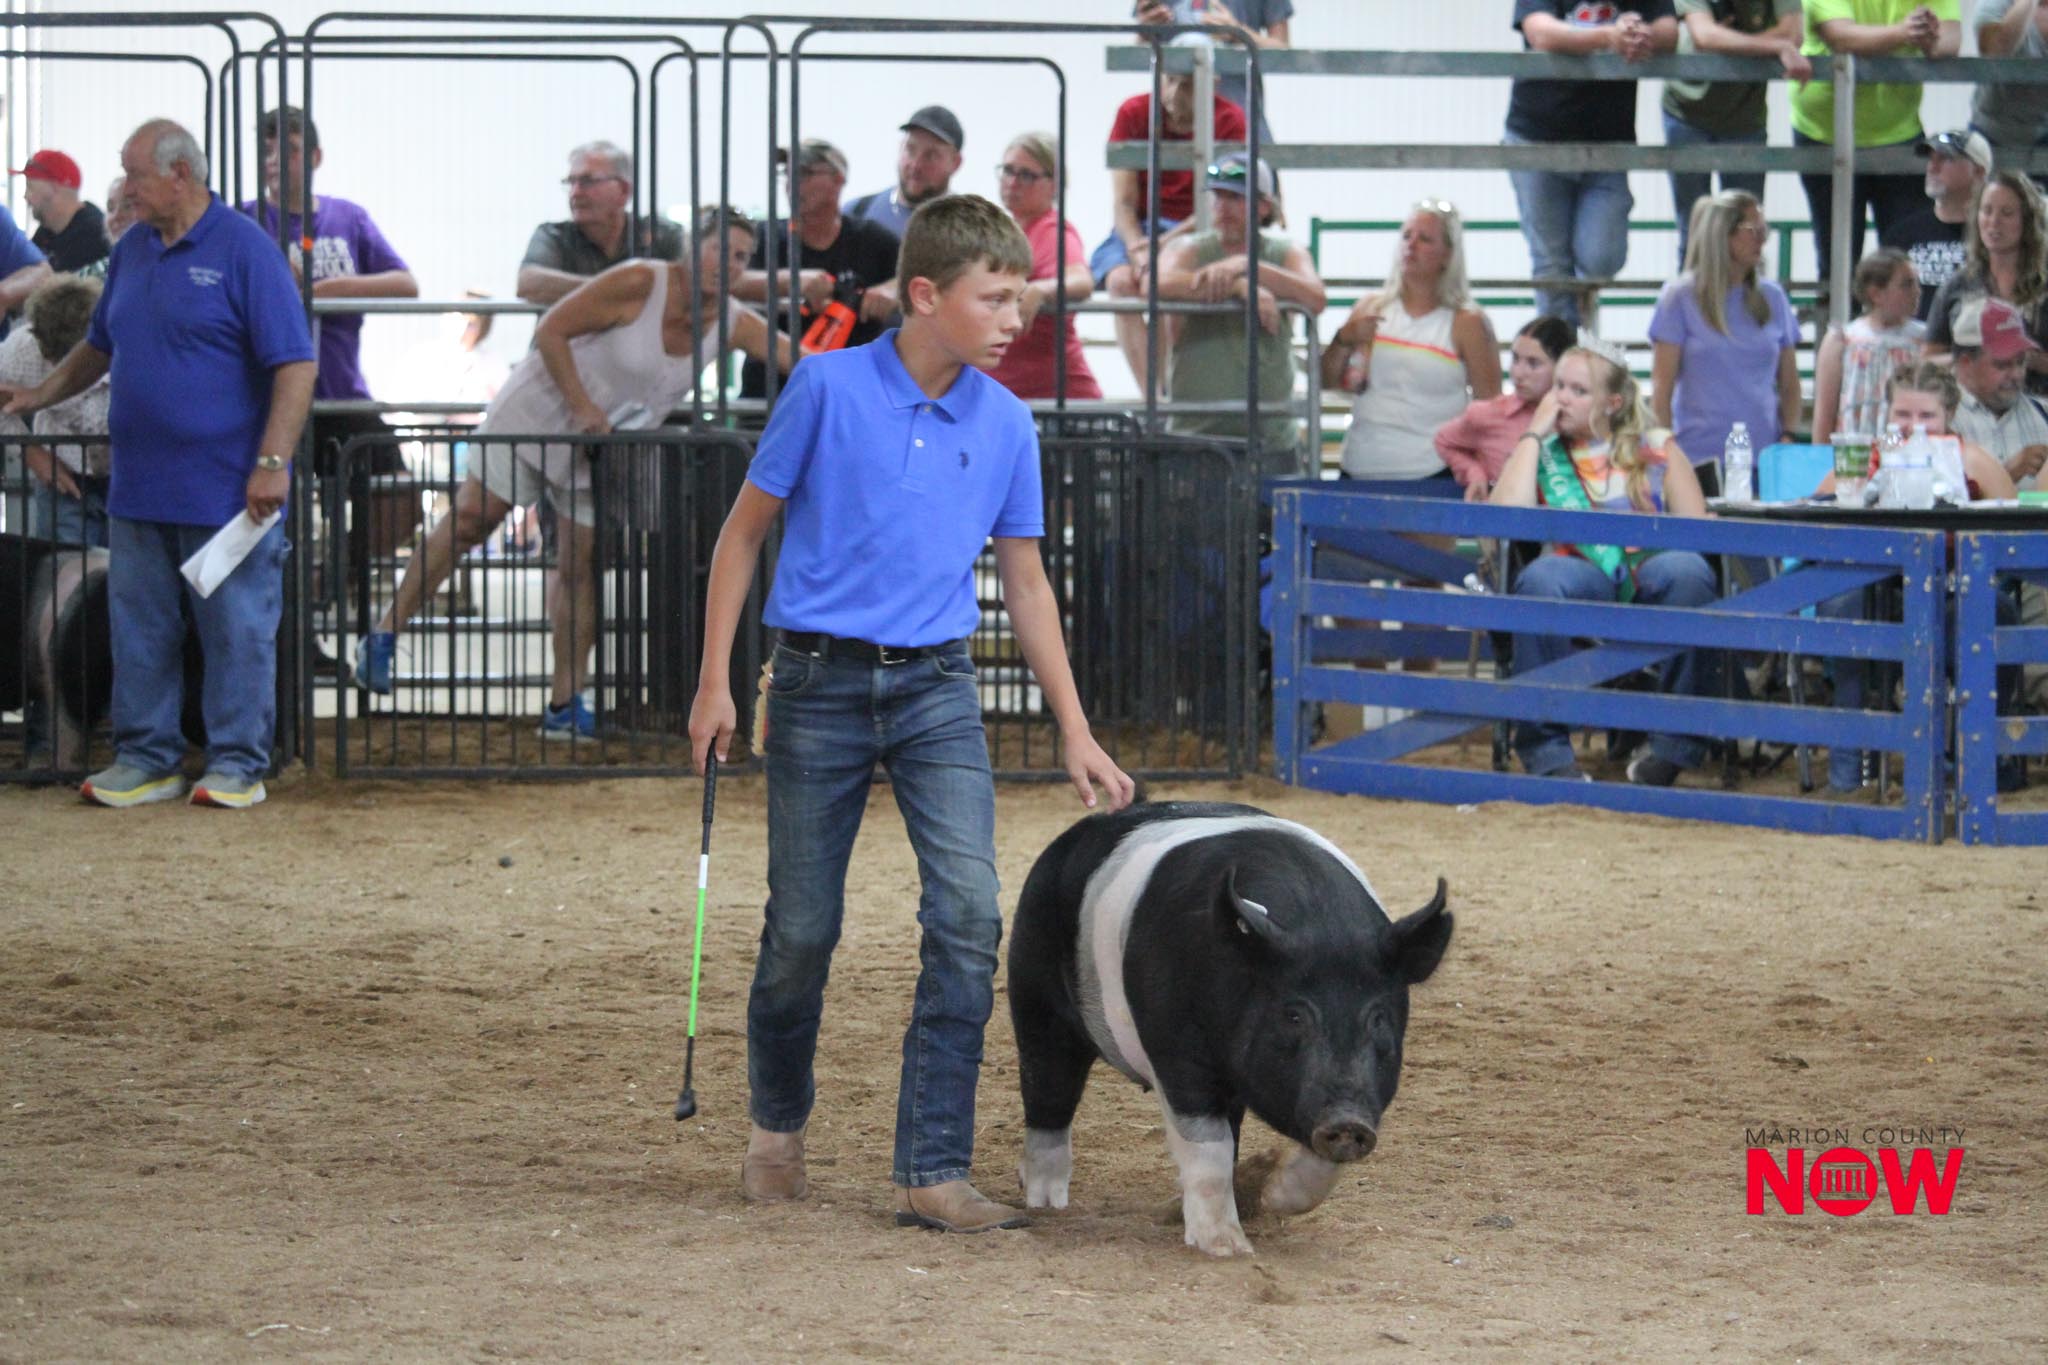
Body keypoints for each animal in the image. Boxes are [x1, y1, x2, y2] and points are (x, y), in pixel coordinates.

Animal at [1007, 799, 1452, 1256]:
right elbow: (1209, 1150)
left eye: (1378, 1017)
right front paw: (1227, 1248)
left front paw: (1272, 1197)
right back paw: (1046, 1202)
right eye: (1293, 1015)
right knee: (1048, 1093)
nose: (1348, 1122)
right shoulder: (1176, 1053)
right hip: (1035, 994)